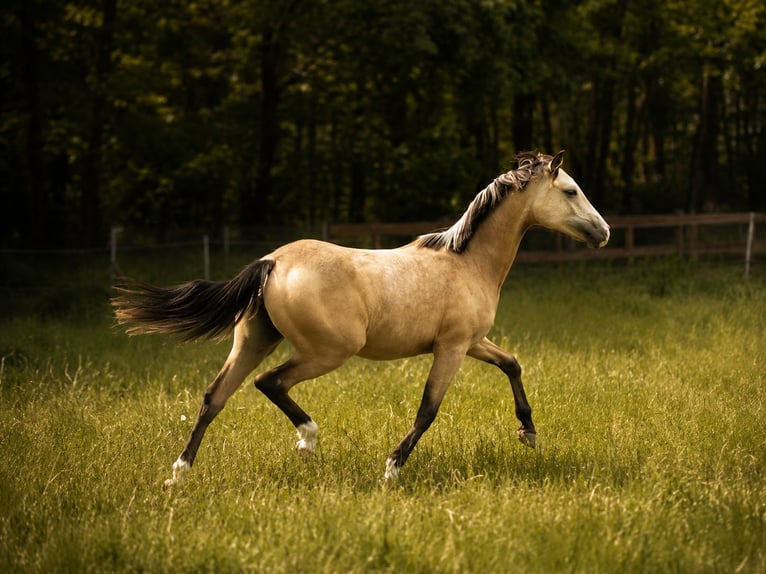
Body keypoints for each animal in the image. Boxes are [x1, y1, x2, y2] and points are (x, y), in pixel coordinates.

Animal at [112, 150, 610, 487]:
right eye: (571, 190)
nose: (603, 232)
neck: (467, 263)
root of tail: (272, 261)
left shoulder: (472, 343)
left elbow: (512, 364)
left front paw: (528, 432)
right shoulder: (451, 348)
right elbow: (428, 409)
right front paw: (391, 469)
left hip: (254, 341)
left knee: (214, 397)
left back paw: (179, 473)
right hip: (328, 351)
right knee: (269, 383)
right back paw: (308, 442)